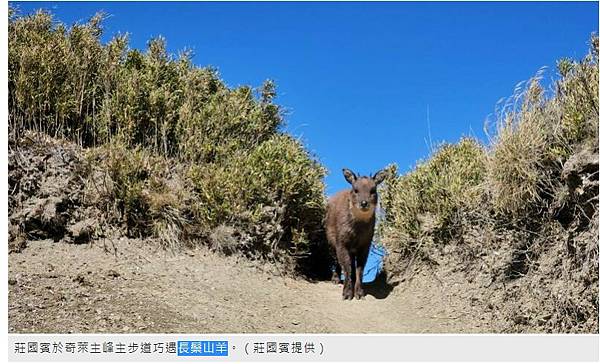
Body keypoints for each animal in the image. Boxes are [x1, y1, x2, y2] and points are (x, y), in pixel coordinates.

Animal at [326, 168, 386, 298]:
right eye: (355, 190)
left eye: (373, 190)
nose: (364, 203)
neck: (357, 230)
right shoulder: (341, 242)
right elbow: (346, 267)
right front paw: (347, 294)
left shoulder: (365, 244)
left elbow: (360, 269)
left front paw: (359, 293)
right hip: (330, 240)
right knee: (336, 260)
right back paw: (335, 278)